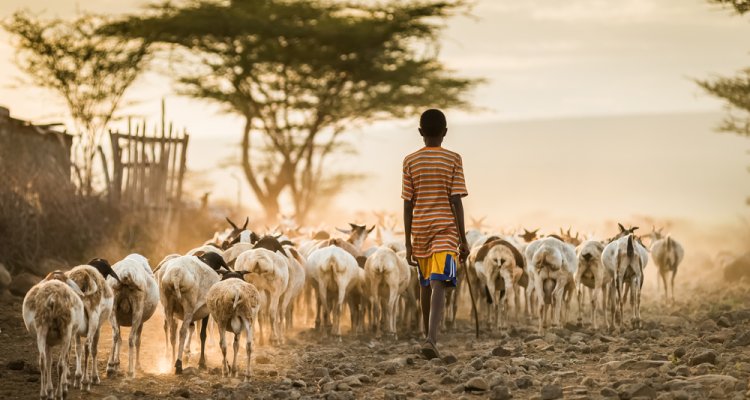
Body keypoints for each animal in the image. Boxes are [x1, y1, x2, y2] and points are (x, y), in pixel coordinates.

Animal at [67, 260, 119, 390]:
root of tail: (82, 278)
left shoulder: (77, 331)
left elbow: (77, 349)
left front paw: (77, 377)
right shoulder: (98, 327)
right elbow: (94, 349)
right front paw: (94, 378)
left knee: (70, 346)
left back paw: (69, 379)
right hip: (94, 318)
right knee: (87, 345)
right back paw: (85, 382)